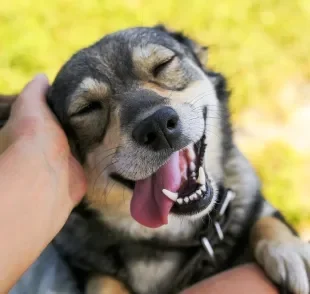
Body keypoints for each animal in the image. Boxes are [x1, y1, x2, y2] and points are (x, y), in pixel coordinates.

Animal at [0, 25, 310, 294]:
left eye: (164, 64)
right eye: (87, 109)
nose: (158, 126)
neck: (172, 236)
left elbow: (266, 220)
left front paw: (290, 251)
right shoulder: (87, 265)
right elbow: (103, 281)